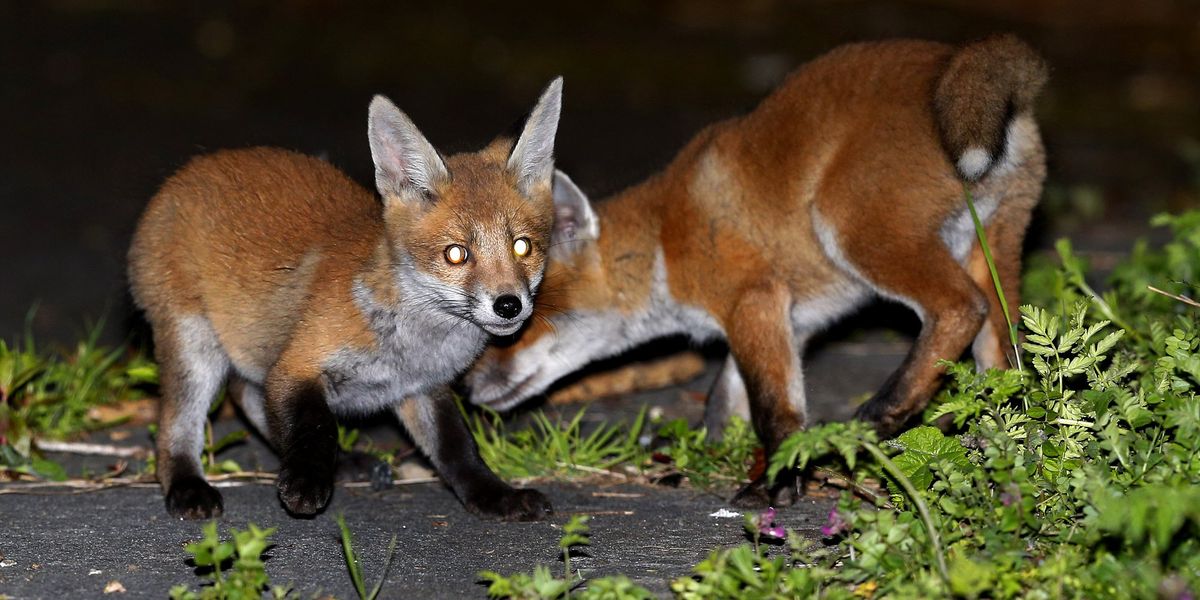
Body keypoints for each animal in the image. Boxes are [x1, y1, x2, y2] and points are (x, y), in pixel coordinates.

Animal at [129, 78, 567, 521]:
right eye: (456, 254)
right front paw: (307, 481)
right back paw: (187, 485)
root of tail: (192, 168)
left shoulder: (422, 388)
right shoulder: (296, 366)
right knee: (175, 426)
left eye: (522, 247)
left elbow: (457, 448)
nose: (509, 305)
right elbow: (318, 426)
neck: (411, 346)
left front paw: (494, 496)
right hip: (193, 346)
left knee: (247, 396)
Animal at [465, 36, 1048, 506]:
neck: (665, 243)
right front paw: (712, 454)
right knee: (1006, 359)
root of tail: (953, 59)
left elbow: (774, 410)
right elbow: (727, 399)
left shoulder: (752, 299)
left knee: (961, 307)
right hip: (992, 247)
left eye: (521, 319)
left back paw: (887, 411)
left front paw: (779, 479)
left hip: (857, 231)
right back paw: (997, 448)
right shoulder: (789, 320)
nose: (467, 391)